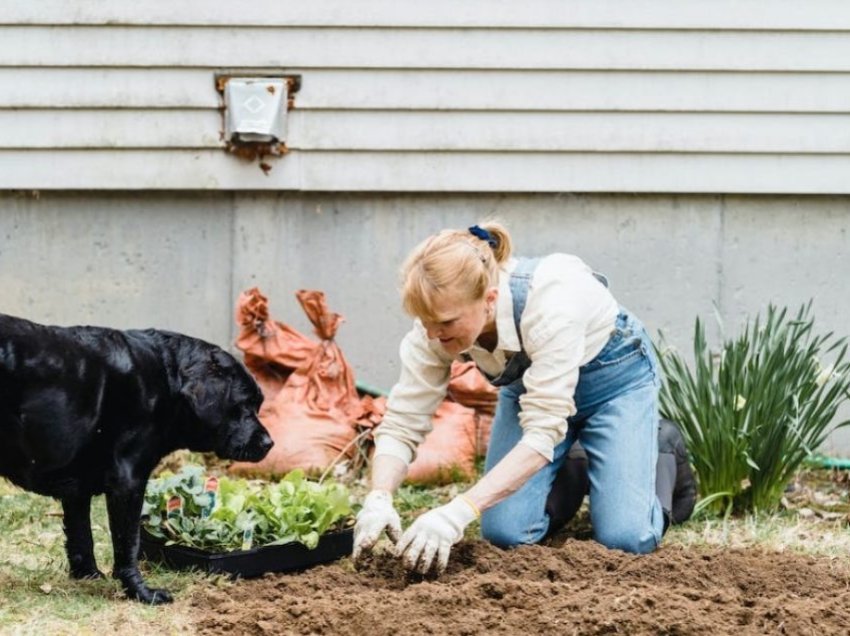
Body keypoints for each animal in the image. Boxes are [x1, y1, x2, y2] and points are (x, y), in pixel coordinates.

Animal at [0, 316, 272, 604]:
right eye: (244, 405)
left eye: (258, 404)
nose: (270, 442)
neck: (168, 381)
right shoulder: (129, 480)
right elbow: (128, 542)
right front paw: (141, 592)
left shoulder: (78, 489)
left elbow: (81, 535)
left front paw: (88, 576)